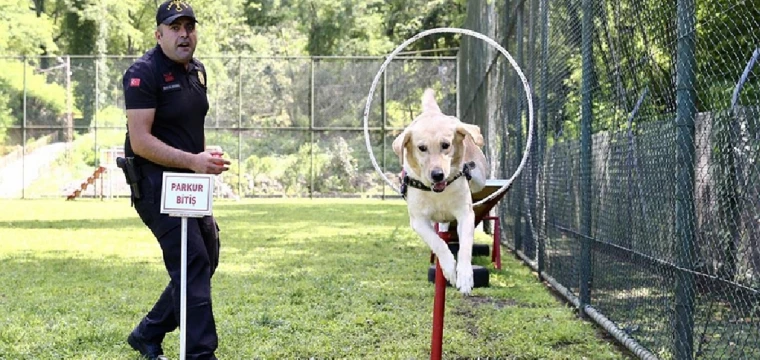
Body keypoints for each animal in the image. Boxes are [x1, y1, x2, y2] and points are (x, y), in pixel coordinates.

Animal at [392, 88, 486, 294]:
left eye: (445, 145)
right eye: (422, 148)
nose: (437, 175)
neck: (437, 193)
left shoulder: (466, 214)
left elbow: (465, 247)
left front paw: (465, 276)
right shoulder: (418, 221)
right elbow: (438, 243)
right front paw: (450, 269)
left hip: (479, 178)